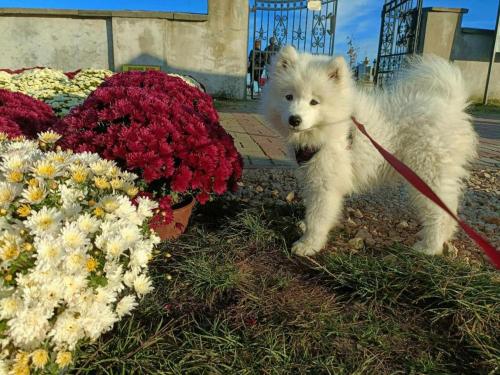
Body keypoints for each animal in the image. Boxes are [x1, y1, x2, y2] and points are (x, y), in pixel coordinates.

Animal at [262, 45, 476, 258]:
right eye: (288, 96)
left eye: (314, 101)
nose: (294, 119)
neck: (332, 124)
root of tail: (452, 104)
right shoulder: (311, 175)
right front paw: (305, 227)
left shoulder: (326, 181)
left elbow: (318, 216)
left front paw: (309, 244)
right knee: (449, 206)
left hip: (427, 171)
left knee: (438, 210)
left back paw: (430, 247)